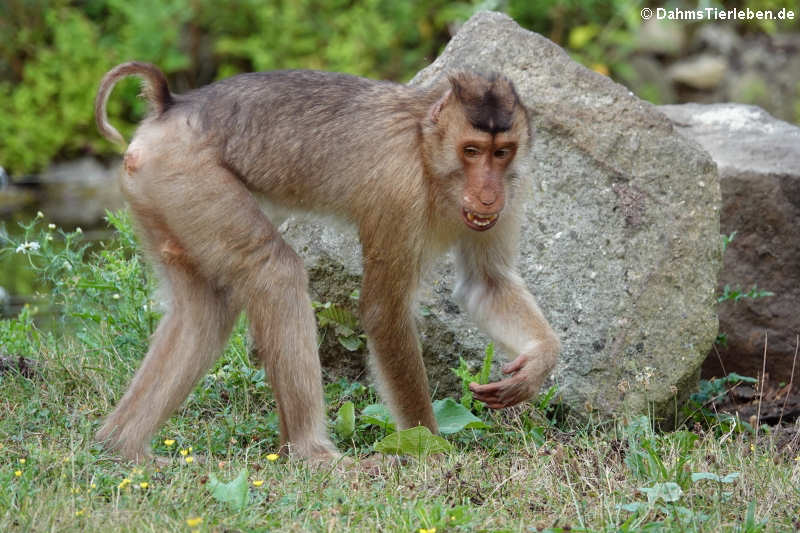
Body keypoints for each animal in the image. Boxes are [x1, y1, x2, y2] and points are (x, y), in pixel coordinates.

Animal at [94, 61, 560, 462]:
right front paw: (428, 447)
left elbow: (487, 283)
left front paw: (539, 361)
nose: (489, 195)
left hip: (160, 192)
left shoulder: (515, 188)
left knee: (205, 312)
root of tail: (171, 107)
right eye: (472, 151)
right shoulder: (399, 191)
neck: (428, 155)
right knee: (274, 271)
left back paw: (123, 446)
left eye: (502, 153)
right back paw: (311, 453)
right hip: (188, 177)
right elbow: (383, 311)